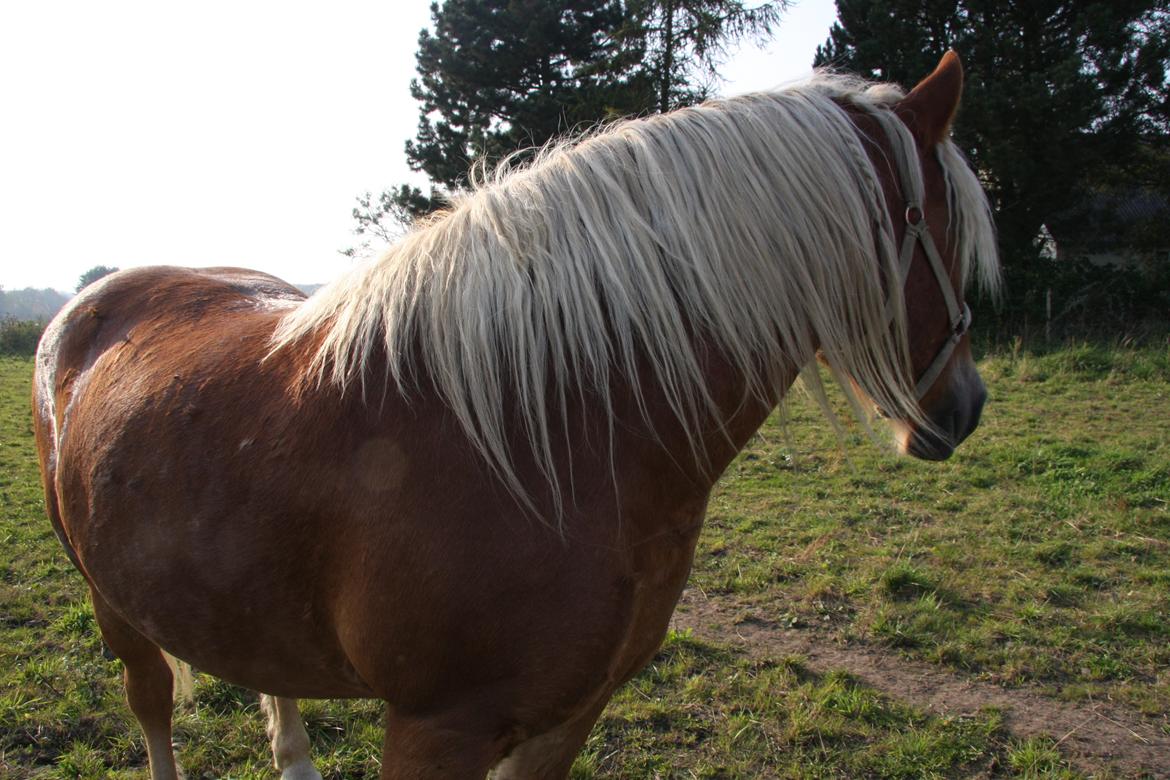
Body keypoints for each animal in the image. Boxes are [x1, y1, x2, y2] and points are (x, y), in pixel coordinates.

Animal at [34, 51, 996, 776]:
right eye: (947, 228)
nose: (967, 405)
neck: (552, 436)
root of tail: (85, 306)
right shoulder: (437, 729)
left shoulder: (566, 719)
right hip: (110, 602)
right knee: (151, 704)